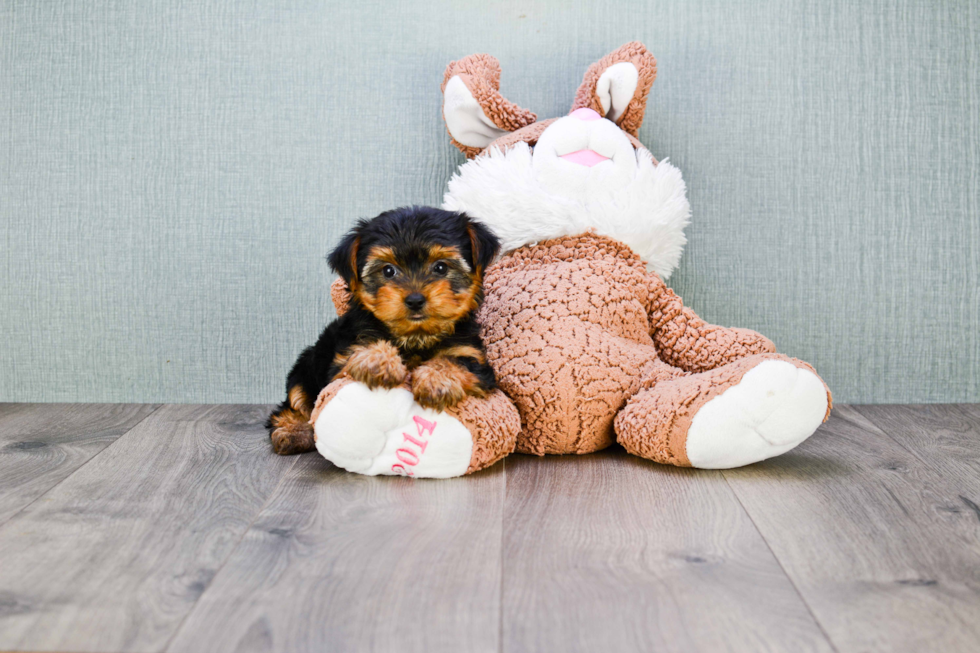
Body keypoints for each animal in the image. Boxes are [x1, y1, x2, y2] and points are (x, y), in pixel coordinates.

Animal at [266, 206, 502, 456]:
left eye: (441, 267)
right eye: (388, 271)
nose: (415, 300)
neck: (416, 336)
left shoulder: (473, 356)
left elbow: (457, 361)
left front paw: (436, 380)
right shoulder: (342, 360)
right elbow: (358, 355)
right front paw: (377, 361)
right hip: (306, 365)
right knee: (293, 402)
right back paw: (293, 432)